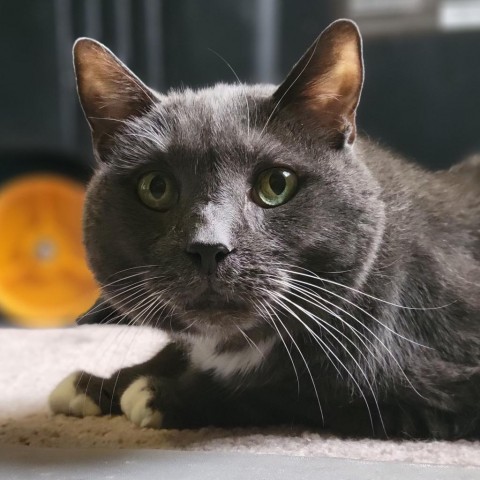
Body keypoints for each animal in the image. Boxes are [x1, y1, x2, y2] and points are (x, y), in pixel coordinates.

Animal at [47, 18, 480, 438]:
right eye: (156, 187)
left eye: (277, 184)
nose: (209, 247)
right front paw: (96, 383)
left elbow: (298, 391)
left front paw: (158, 393)